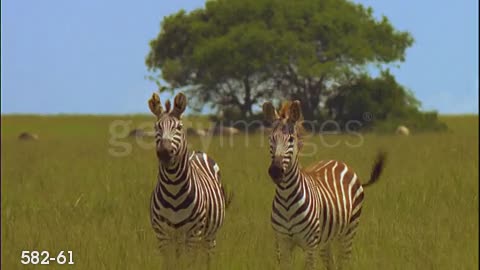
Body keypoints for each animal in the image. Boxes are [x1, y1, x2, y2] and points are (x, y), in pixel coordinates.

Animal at [148, 92, 227, 268]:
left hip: (209, 236)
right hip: (178, 239)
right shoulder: (162, 235)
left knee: (208, 257)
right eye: (157, 127)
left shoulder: (193, 234)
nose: (164, 153)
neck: (173, 189)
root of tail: (197, 152)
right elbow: (170, 264)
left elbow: (190, 264)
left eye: (179, 127)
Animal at [262, 100, 386, 270]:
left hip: (348, 232)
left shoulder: (310, 245)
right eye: (271, 139)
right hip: (327, 239)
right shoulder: (282, 243)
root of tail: (339, 162)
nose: (275, 171)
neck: (286, 198)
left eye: (291, 139)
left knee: (344, 262)